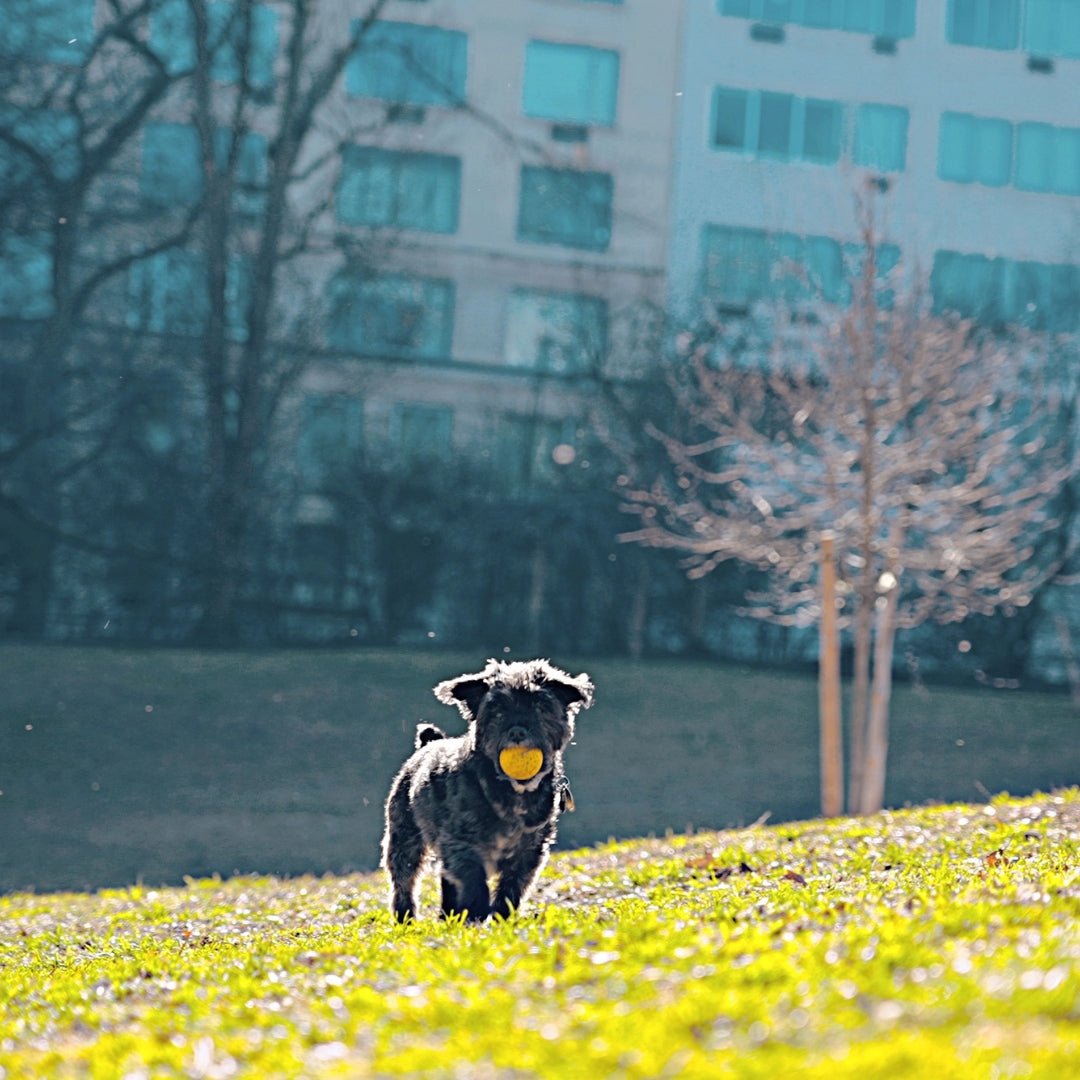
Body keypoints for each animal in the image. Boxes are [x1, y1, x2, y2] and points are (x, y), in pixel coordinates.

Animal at [380, 656, 596, 920]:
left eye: (540, 706)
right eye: (497, 710)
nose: (517, 731)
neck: (511, 792)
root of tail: (428, 743)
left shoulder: (530, 851)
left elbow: (512, 887)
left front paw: (502, 918)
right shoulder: (460, 841)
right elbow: (472, 875)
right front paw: (477, 908)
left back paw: (449, 915)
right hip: (404, 839)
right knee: (404, 880)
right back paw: (407, 918)